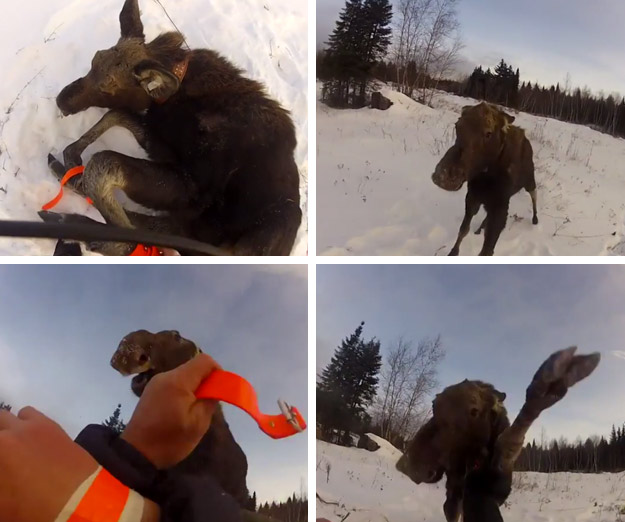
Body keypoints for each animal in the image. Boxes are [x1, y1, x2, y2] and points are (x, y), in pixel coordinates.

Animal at [45, 0, 302, 254]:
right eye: (93, 61)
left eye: (108, 88)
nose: (62, 100)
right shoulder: (159, 144)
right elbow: (116, 115)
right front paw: (72, 157)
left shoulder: (191, 187)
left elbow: (102, 162)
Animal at [434, 100, 536, 255]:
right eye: (457, 125)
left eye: (489, 133)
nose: (443, 176)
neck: (486, 177)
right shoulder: (473, 196)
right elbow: (463, 230)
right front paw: (453, 252)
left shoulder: (500, 205)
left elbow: (487, 250)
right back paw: (479, 228)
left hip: (530, 180)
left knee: (534, 195)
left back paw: (535, 218)